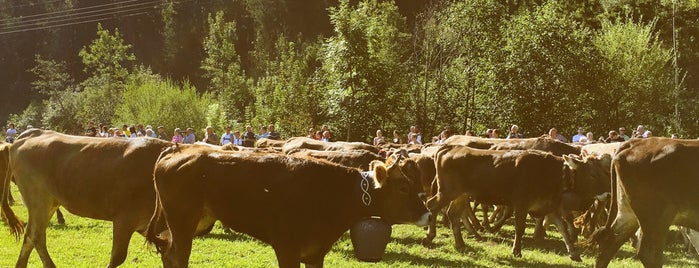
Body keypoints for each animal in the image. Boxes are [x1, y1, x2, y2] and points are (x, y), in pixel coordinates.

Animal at [0, 129, 204, 266]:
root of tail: (29, 134)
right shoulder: (124, 218)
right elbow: (118, 256)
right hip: (39, 200)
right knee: (36, 236)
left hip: (49, 203)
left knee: (32, 236)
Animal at [424, 146, 584, 260]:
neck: (548, 171)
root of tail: (451, 147)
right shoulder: (521, 204)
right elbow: (520, 228)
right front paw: (516, 251)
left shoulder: (549, 206)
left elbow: (563, 228)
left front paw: (574, 253)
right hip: (447, 192)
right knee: (431, 205)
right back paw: (430, 235)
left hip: (460, 195)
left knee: (453, 214)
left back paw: (460, 243)